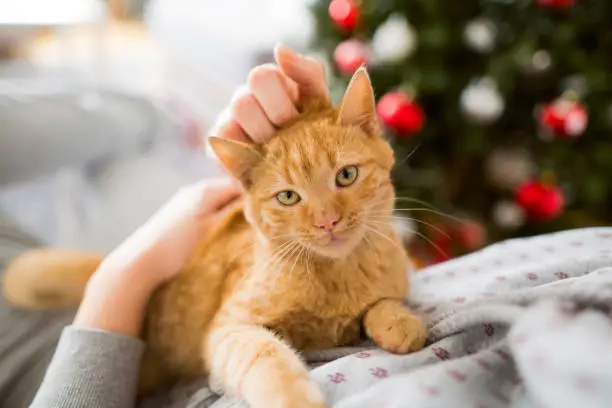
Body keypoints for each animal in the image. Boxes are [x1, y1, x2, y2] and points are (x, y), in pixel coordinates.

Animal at [2, 68, 426, 406]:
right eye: (288, 197)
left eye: (346, 175)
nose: (327, 222)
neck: (338, 275)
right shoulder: (228, 330)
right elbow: (266, 355)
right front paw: (293, 398)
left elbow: (383, 301)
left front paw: (398, 321)